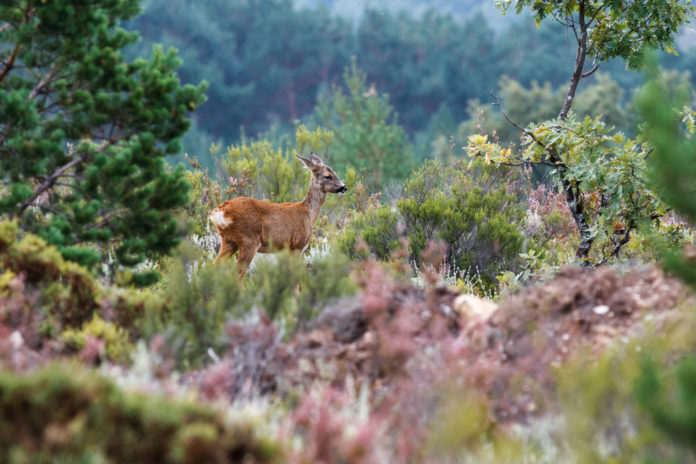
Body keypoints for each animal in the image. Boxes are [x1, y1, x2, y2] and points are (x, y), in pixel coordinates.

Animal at [208, 152, 346, 278]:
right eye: (327, 176)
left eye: (335, 173)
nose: (344, 187)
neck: (308, 214)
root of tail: (220, 211)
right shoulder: (297, 245)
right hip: (249, 240)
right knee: (237, 274)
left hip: (228, 241)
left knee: (214, 266)